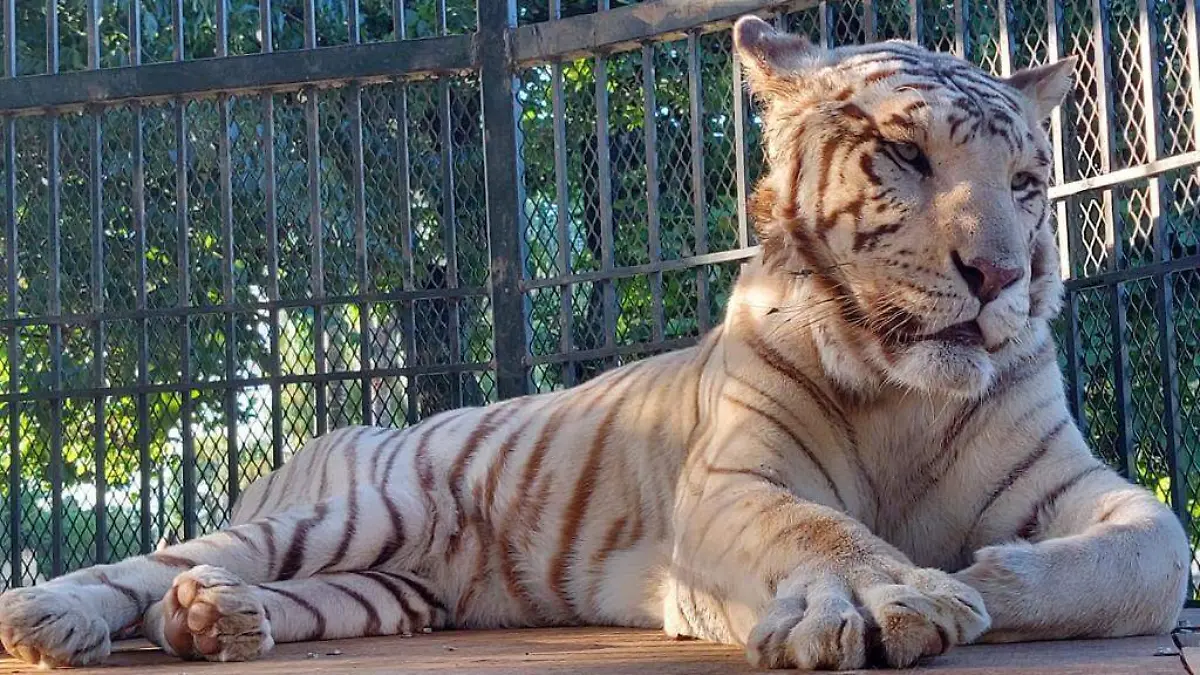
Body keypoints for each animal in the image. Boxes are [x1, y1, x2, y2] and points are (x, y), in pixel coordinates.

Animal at [0, 15, 1188, 671]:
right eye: (903, 154)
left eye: (1027, 183)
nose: (1000, 276)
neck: (905, 393)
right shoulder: (734, 485)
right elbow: (818, 530)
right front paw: (887, 594)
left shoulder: (1072, 482)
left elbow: (1153, 551)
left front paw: (981, 572)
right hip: (356, 512)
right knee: (154, 562)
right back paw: (54, 614)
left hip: (397, 586)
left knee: (263, 592)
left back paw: (216, 622)